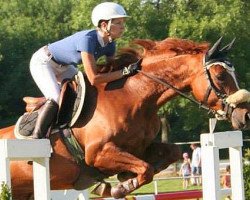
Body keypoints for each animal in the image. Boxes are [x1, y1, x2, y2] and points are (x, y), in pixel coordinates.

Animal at [0, 36, 250, 199]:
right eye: (220, 75)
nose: (245, 115)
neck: (134, 97)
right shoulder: (98, 153)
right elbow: (145, 169)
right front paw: (120, 186)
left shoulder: (141, 147)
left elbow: (170, 153)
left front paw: (124, 179)